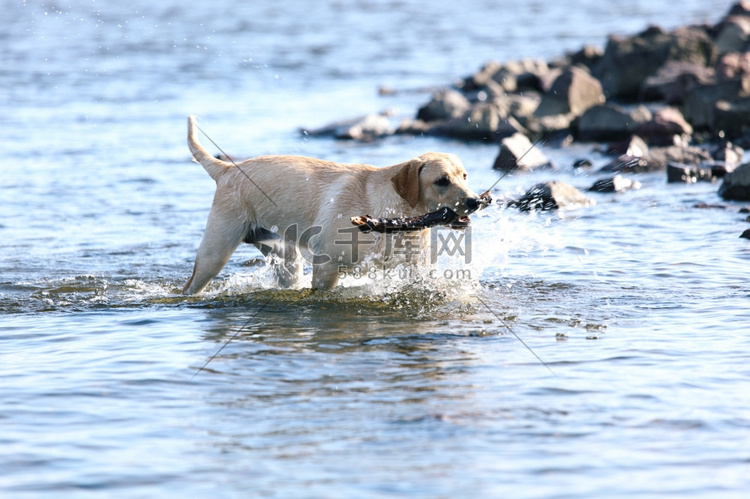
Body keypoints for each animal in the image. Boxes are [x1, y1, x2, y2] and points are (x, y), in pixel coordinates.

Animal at [185, 115, 484, 294]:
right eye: (442, 180)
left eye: (464, 176)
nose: (475, 201)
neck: (395, 215)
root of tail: (226, 169)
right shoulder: (327, 266)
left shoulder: (416, 269)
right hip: (215, 253)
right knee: (191, 285)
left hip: (286, 261)